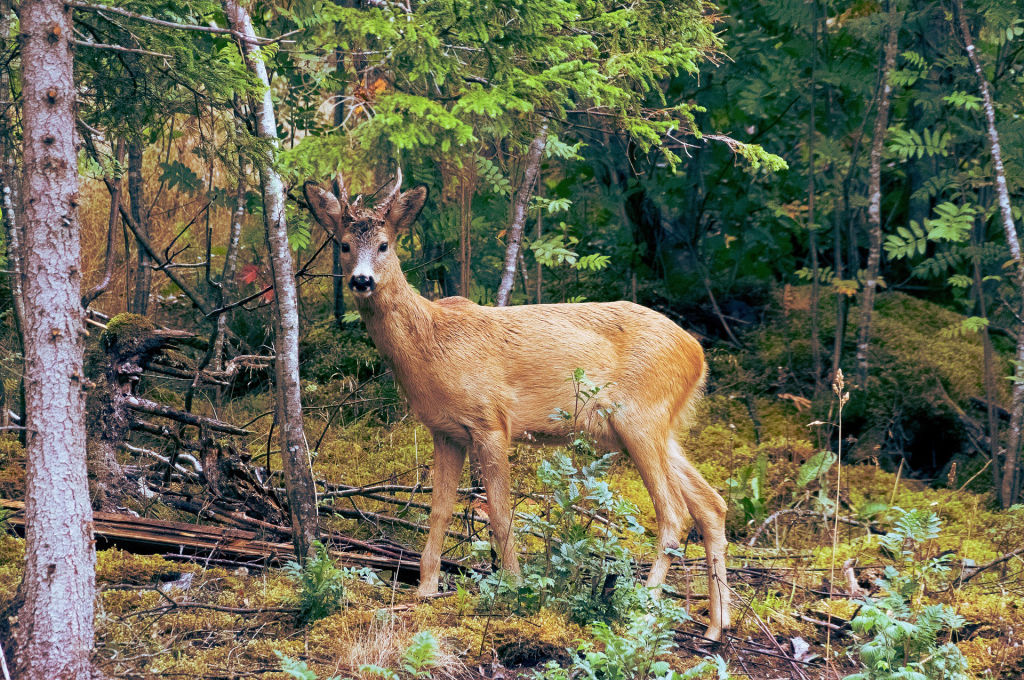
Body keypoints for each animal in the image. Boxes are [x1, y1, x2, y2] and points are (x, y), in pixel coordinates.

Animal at [304, 169, 731, 641]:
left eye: (384, 245)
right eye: (343, 244)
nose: (361, 281)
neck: (431, 345)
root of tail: (697, 354)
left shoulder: (490, 421)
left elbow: (501, 513)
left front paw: (514, 589)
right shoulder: (445, 431)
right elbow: (439, 511)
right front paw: (426, 590)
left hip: (639, 417)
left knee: (673, 515)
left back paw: (642, 611)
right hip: (659, 426)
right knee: (711, 504)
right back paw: (716, 628)